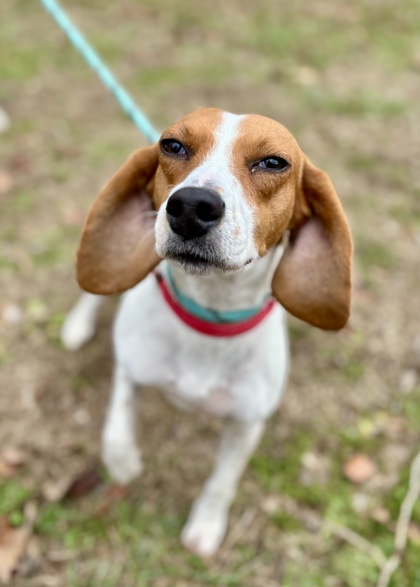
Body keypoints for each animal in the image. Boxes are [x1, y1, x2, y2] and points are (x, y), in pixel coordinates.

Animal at [61, 108, 352, 557]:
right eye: (172, 145)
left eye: (274, 162)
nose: (191, 205)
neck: (209, 318)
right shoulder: (131, 364)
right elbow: (117, 421)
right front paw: (123, 463)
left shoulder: (246, 426)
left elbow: (222, 482)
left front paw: (205, 525)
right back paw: (78, 324)